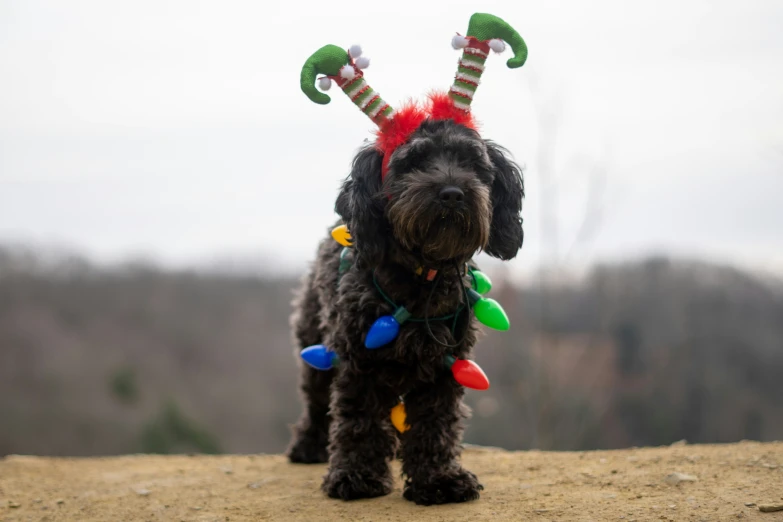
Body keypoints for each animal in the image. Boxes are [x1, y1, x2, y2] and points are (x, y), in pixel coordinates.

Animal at [284, 115, 524, 504]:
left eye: (472, 164)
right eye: (412, 163)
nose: (452, 194)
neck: (421, 277)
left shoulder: (445, 366)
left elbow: (435, 423)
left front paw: (438, 479)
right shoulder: (358, 360)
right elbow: (359, 419)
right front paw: (356, 476)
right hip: (314, 347)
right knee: (317, 401)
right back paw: (308, 446)